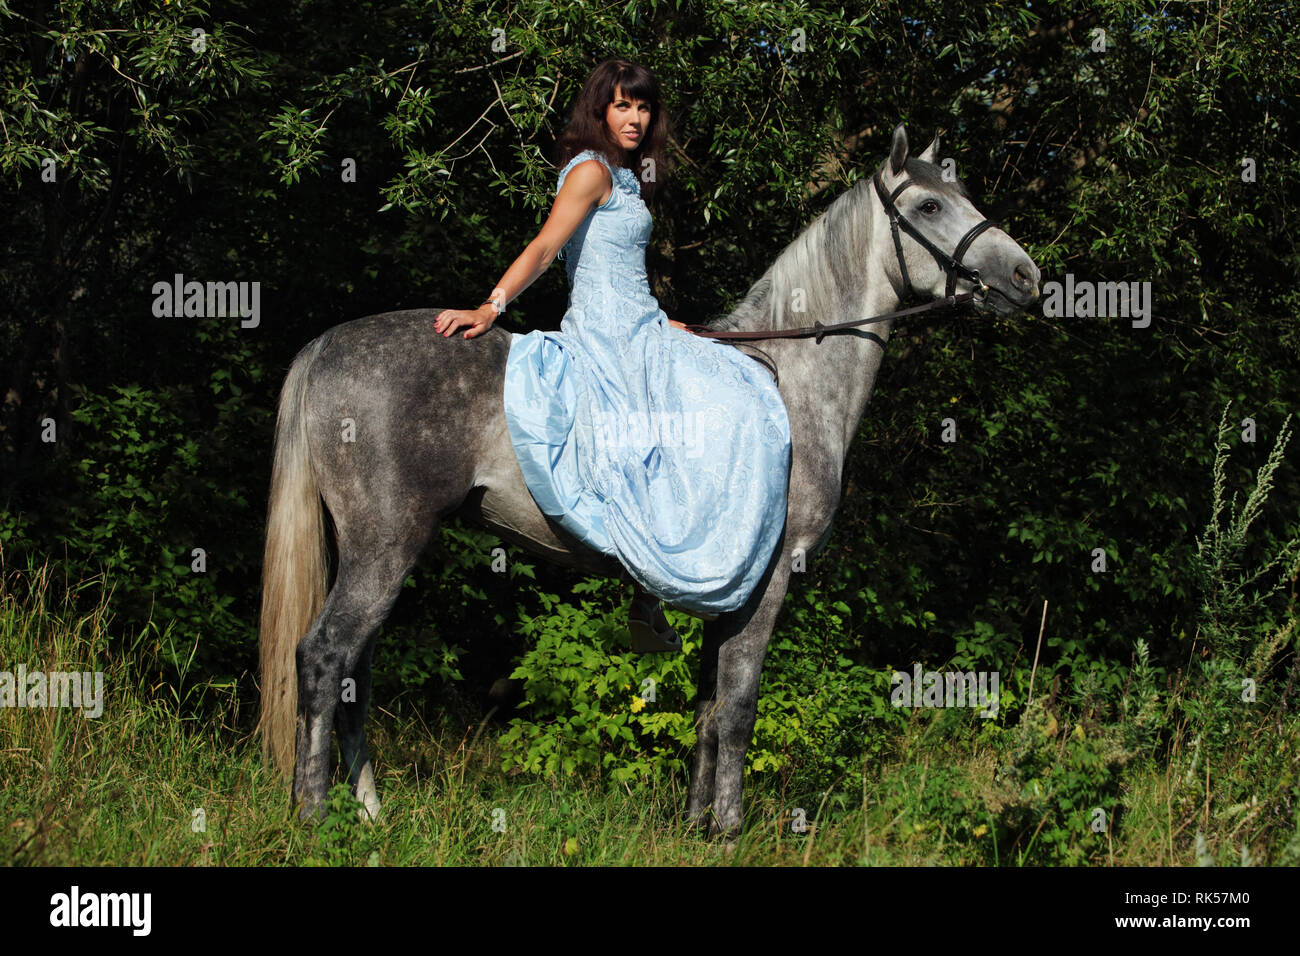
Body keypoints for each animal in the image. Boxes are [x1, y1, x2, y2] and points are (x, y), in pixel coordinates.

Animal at [258, 125, 1040, 837]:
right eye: (932, 206)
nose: (1027, 279)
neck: (791, 382)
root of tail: (327, 344)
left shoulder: (732, 591)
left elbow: (708, 706)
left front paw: (697, 826)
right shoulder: (770, 580)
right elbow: (740, 704)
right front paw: (730, 829)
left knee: (356, 670)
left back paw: (368, 813)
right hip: (385, 545)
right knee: (324, 658)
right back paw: (314, 817)